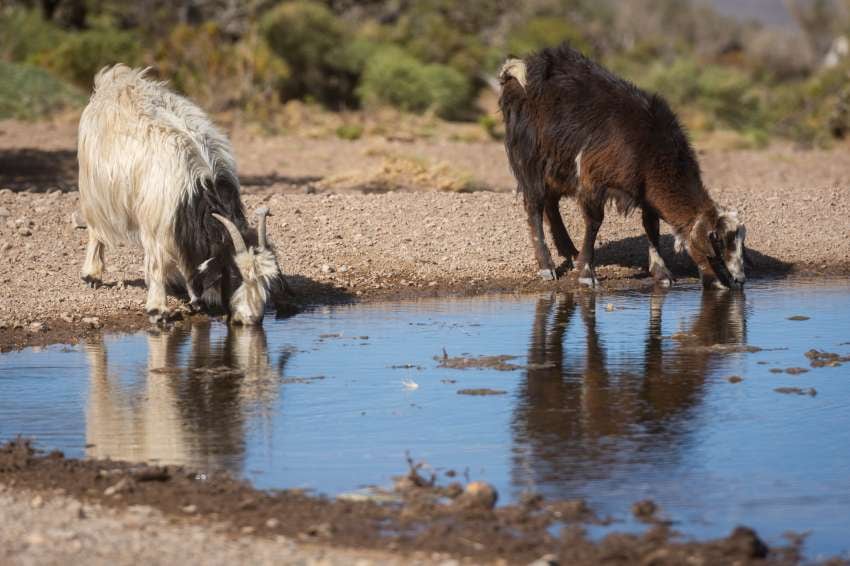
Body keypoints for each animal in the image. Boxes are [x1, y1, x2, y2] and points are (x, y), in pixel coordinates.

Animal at [500, 45, 744, 290]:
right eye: (718, 249)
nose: (739, 281)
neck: (650, 149)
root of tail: (522, 68)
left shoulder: (645, 190)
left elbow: (651, 226)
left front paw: (662, 272)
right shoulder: (592, 179)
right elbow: (594, 222)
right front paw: (587, 273)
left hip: (558, 166)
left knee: (550, 202)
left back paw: (569, 250)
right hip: (530, 158)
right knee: (535, 205)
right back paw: (547, 266)